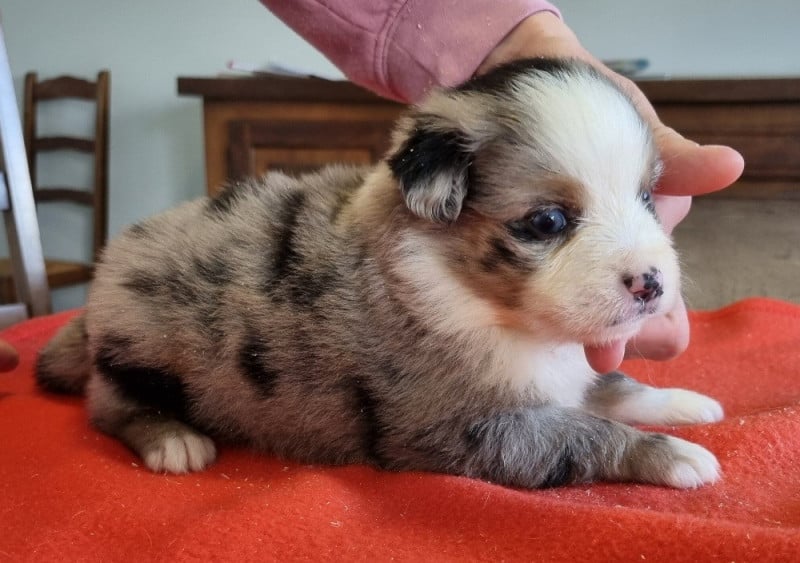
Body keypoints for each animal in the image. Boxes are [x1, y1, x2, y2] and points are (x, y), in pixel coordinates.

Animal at [36, 58, 723, 489]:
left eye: (645, 197)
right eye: (549, 220)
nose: (652, 284)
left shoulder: (565, 371)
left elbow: (613, 385)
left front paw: (685, 402)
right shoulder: (459, 426)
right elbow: (580, 433)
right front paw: (676, 456)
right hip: (139, 349)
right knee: (109, 407)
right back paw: (173, 440)